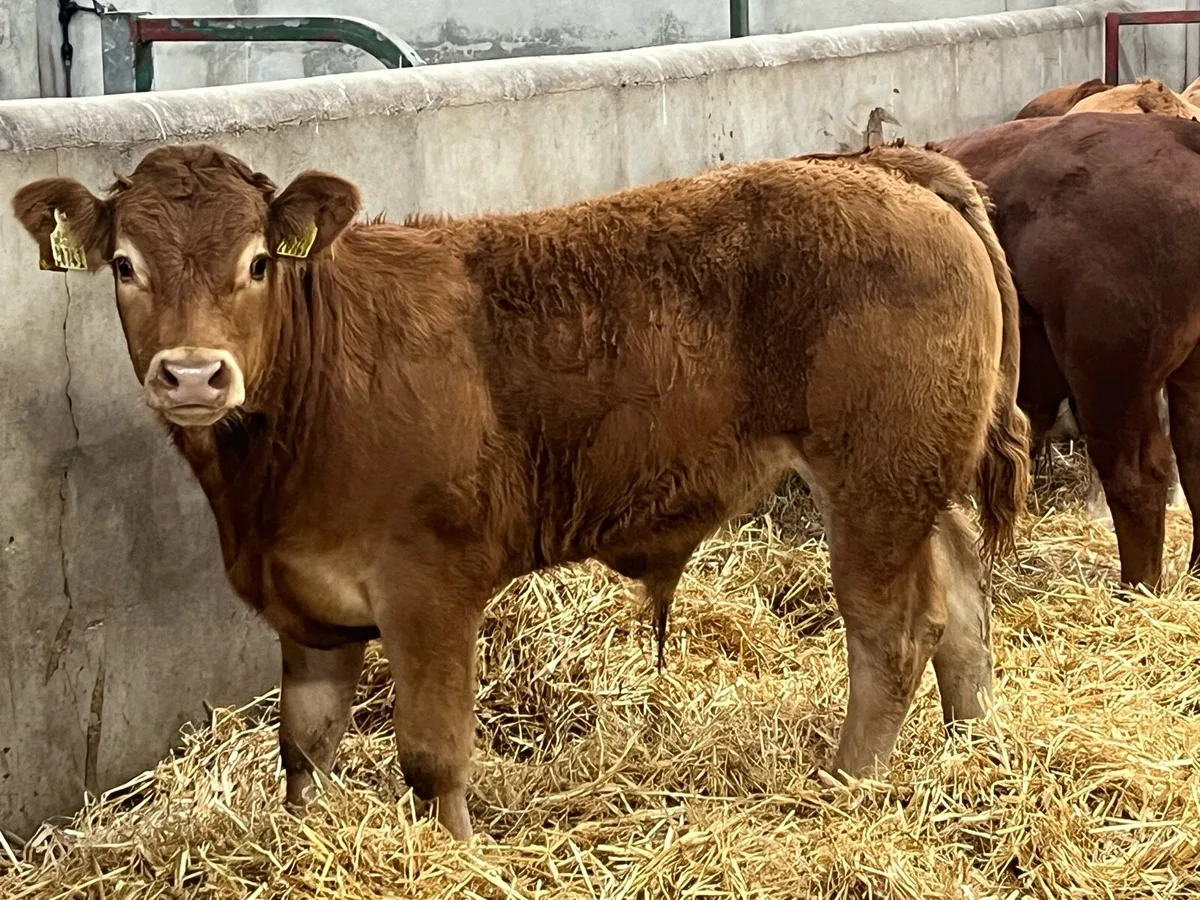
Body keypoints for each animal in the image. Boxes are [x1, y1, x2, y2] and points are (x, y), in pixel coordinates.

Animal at [12, 143, 1028, 839]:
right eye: (125, 264)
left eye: (258, 262)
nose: (192, 374)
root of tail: (878, 165)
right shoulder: (307, 609)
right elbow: (304, 749)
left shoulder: (429, 590)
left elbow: (431, 757)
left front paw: (454, 857)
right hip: (918, 482)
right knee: (962, 604)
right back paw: (972, 749)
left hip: (873, 483)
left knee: (892, 634)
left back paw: (844, 786)